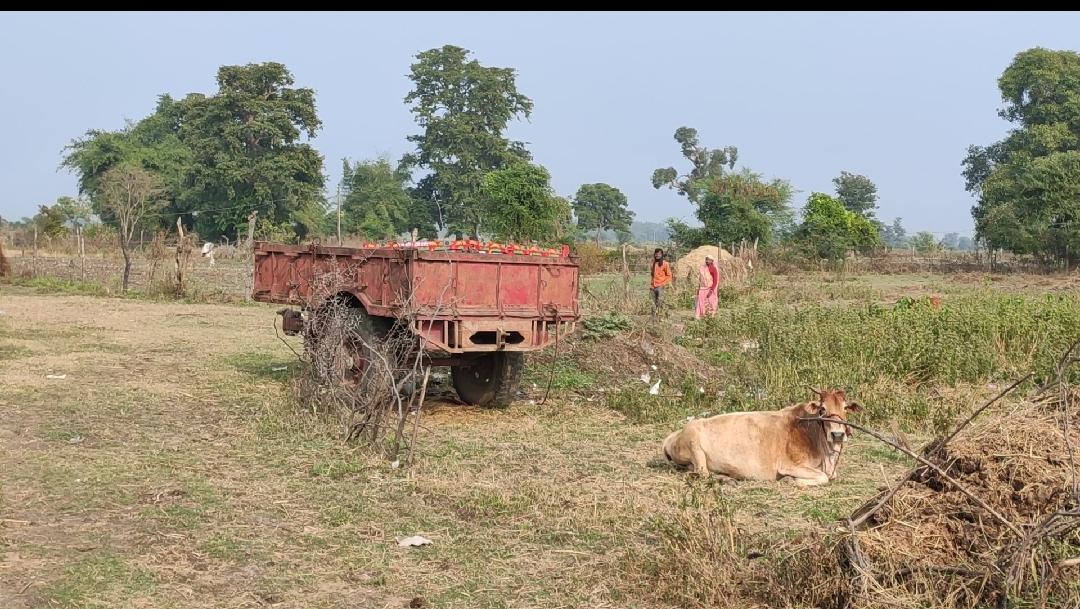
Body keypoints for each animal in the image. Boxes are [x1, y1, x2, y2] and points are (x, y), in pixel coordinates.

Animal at [660, 388, 864, 488]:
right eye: (822, 409)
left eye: (845, 408)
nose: (837, 434)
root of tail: (674, 435)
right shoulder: (788, 465)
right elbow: (823, 477)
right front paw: (790, 480)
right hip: (694, 444)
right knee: (702, 473)